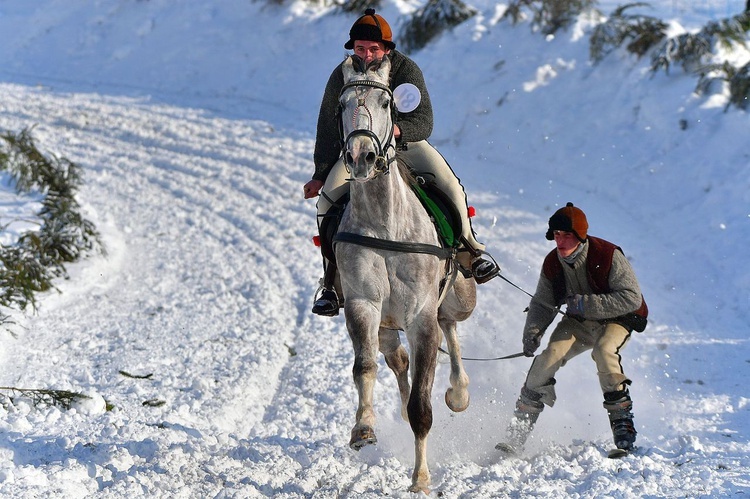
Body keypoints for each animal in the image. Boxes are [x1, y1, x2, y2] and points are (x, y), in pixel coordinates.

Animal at [334, 55, 478, 496]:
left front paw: (421, 479)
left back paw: (459, 392)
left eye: (386, 103)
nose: (361, 156)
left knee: (450, 325)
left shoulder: (420, 316)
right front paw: (363, 429)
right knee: (397, 361)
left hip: (458, 296)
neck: (385, 225)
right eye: (343, 104)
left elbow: (422, 404)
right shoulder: (363, 305)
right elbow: (364, 368)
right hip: (386, 322)